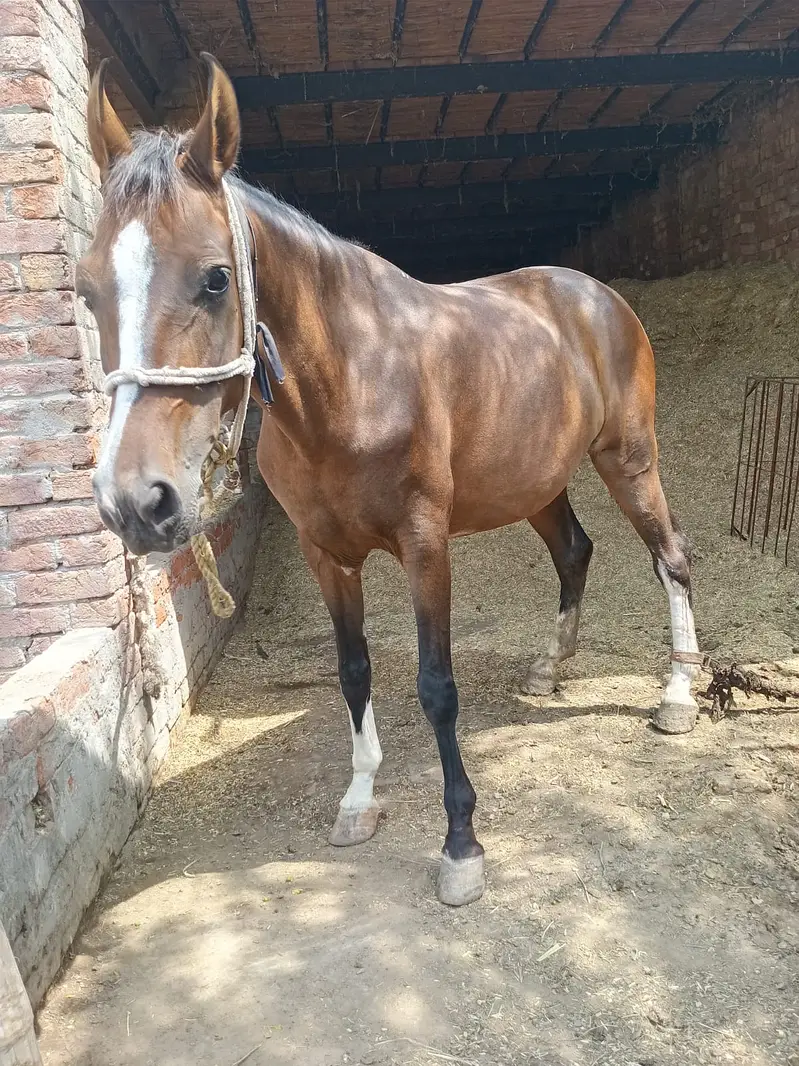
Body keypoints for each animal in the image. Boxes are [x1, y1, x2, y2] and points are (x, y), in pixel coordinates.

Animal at [79, 53, 701, 907]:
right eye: (86, 288)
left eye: (214, 279)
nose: (135, 502)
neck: (353, 379)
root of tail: (594, 295)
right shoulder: (325, 555)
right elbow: (352, 673)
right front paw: (357, 802)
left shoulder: (423, 544)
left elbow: (436, 685)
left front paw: (461, 845)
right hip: (537, 482)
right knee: (574, 551)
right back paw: (549, 667)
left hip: (628, 458)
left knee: (669, 557)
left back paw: (676, 697)